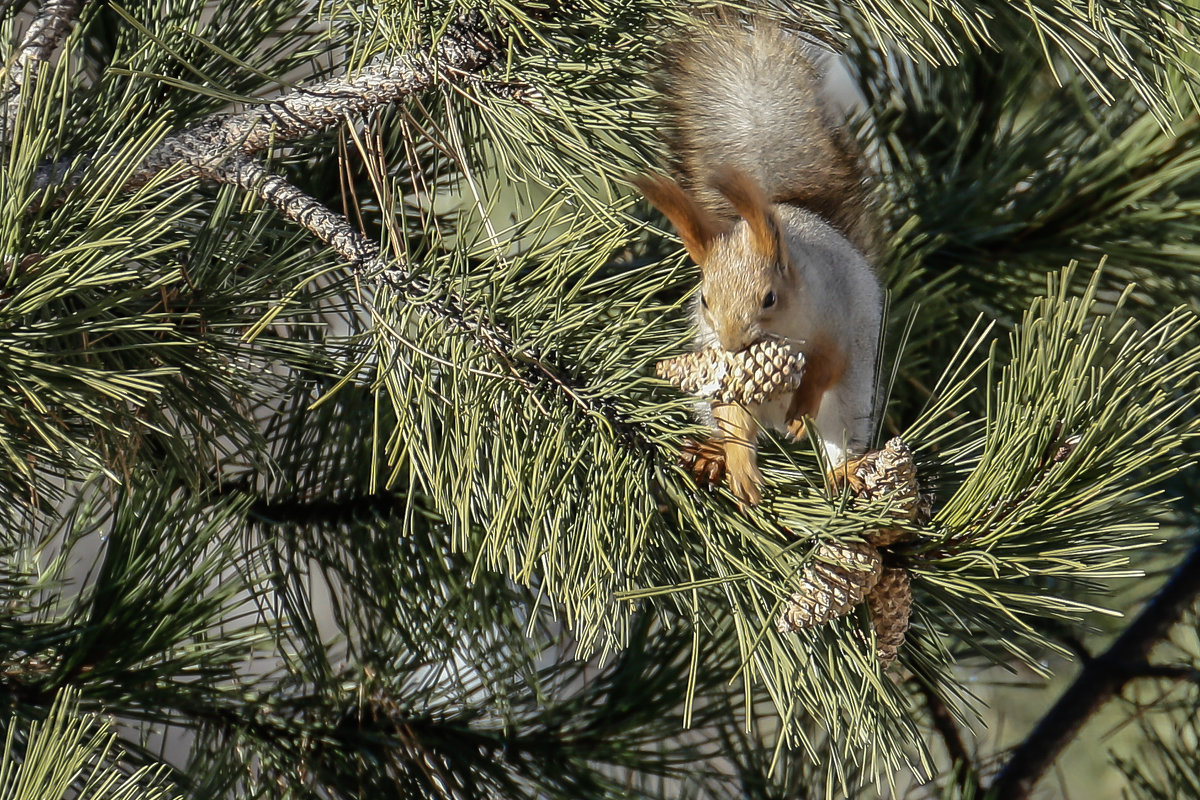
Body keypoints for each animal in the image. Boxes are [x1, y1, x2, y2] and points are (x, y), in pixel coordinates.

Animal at [638, 14, 883, 506]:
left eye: (769, 298)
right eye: (704, 299)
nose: (733, 343)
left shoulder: (835, 317)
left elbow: (825, 367)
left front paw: (800, 412)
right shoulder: (719, 365)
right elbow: (733, 414)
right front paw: (741, 468)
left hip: (850, 399)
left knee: (838, 434)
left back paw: (843, 471)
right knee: (732, 423)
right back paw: (715, 455)